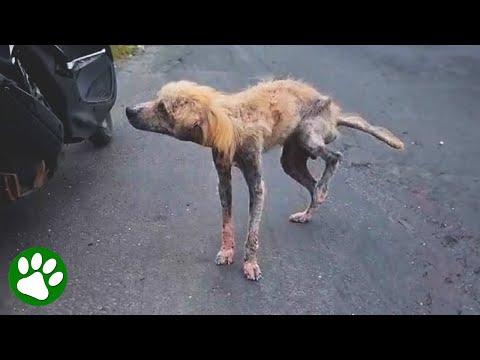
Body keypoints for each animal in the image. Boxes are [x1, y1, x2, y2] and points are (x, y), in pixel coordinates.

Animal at [125, 79, 404, 282]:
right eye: (158, 101)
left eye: (163, 108)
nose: (128, 110)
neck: (229, 121)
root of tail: (334, 113)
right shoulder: (223, 181)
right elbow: (227, 222)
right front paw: (227, 251)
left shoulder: (256, 185)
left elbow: (252, 233)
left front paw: (250, 264)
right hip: (291, 162)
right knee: (312, 186)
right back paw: (309, 211)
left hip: (309, 137)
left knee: (335, 157)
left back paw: (324, 187)